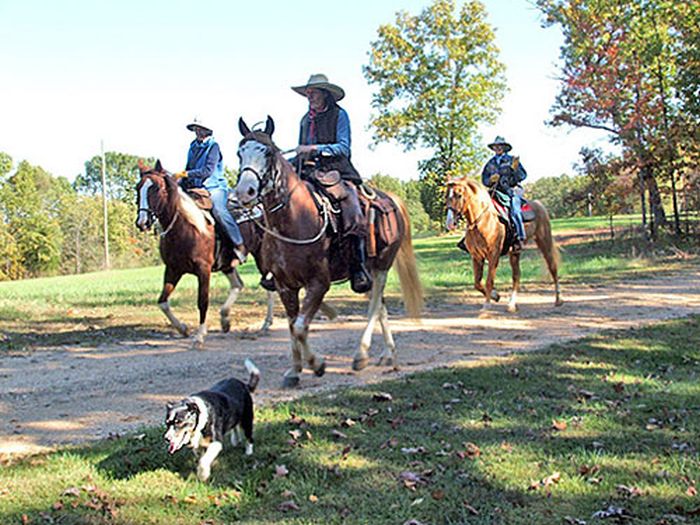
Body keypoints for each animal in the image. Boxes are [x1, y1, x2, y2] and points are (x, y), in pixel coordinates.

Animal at [134, 161, 274, 348]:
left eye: (156, 188)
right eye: (138, 188)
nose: (142, 222)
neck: (186, 226)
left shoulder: (203, 270)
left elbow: (203, 301)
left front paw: (199, 336)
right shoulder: (173, 269)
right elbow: (162, 301)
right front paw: (183, 329)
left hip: (261, 255)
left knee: (268, 285)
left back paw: (266, 323)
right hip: (228, 264)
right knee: (238, 284)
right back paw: (225, 319)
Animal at [235, 116, 424, 386]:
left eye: (268, 152)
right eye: (240, 152)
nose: (244, 192)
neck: (295, 218)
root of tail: (392, 201)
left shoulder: (318, 283)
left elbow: (301, 326)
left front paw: (317, 364)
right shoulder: (284, 285)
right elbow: (293, 326)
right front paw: (295, 370)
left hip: (381, 267)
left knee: (374, 306)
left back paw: (361, 355)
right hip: (366, 272)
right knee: (381, 306)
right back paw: (388, 354)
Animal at [442, 178, 564, 314]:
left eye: (459, 195)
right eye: (446, 195)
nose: (449, 223)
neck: (483, 221)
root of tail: (539, 204)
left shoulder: (493, 255)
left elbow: (489, 281)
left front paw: (487, 305)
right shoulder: (477, 257)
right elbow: (477, 283)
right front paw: (495, 296)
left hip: (544, 242)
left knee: (553, 268)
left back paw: (558, 299)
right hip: (515, 252)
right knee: (516, 276)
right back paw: (512, 305)